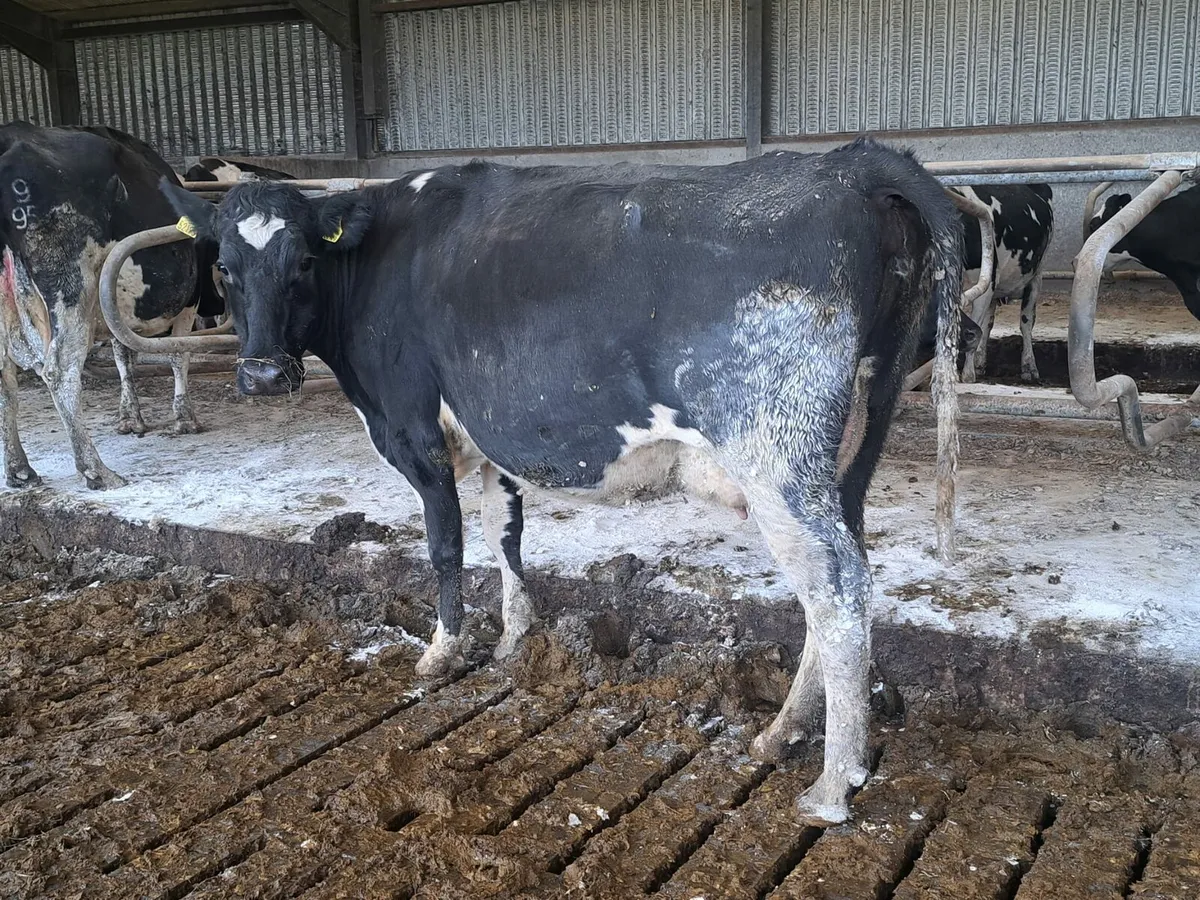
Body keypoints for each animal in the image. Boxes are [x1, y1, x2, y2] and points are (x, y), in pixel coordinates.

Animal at [1, 121, 200, 489]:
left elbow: (124, 356)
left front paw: (131, 417)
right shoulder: (192, 299)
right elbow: (178, 353)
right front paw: (184, 418)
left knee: (5, 380)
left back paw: (20, 469)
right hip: (70, 284)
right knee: (60, 371)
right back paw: (96, 470)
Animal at [161, 137, 963, 824]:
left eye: (300, 262)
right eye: (224, 267)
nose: (264, 376)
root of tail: (848, 165)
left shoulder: (414, 429)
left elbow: (445, 546)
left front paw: (441, 652)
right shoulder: (492, 439)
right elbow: (504, 533)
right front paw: (516, 638)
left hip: (776, 455)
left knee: (835, 589)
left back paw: (832, 785)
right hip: (851, 446)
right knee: (844, 576)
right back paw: (780, 735)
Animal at [952, 184, 1054, 383]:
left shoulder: (986, 279)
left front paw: (967, 375)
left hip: (1036, 275)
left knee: (1026, 322)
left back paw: (1029, 367)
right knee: (988, 322)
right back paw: (980, 362)